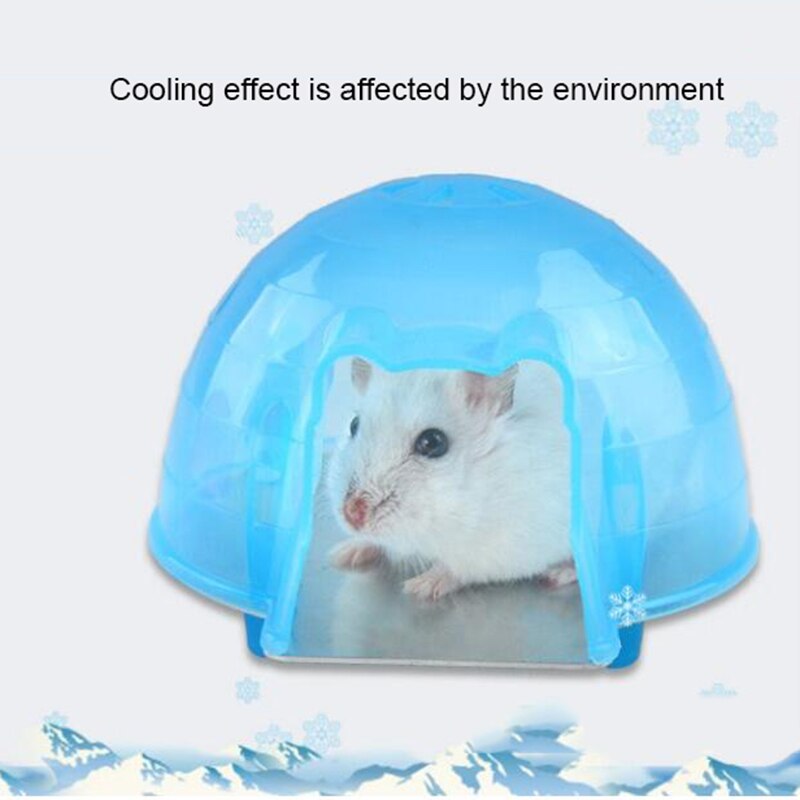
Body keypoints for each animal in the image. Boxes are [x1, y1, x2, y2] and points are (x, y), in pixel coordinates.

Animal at [326, 357, 575, 602]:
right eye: (354, 425)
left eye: (433, 442)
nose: (352, 515)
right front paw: (342, 554)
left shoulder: (505, 549)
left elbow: (456, 569)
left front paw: (419, 587)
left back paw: (556, 575)